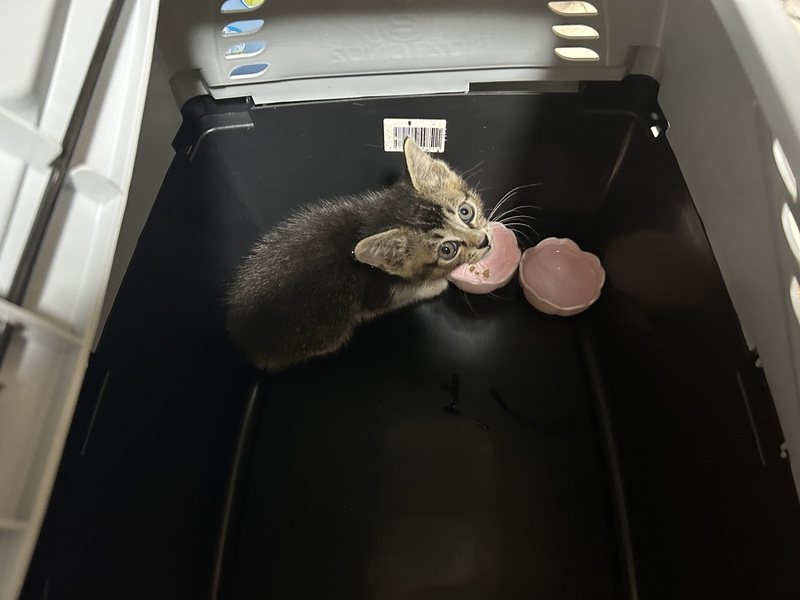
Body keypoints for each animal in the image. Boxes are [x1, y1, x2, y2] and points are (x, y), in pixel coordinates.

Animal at [225, 138, 493, 371]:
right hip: (327, 332)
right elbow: (410, 291)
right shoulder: (378, 295)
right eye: (447, 250)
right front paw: (436, 284)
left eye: (466, 211)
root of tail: (240, 336)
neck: (372, 221)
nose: (485, 241)